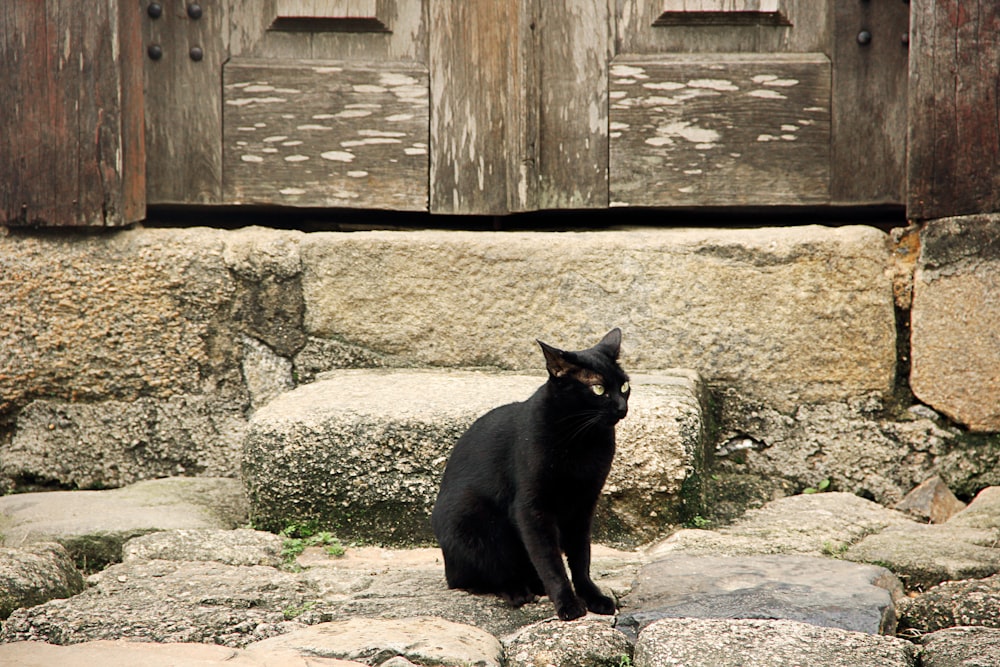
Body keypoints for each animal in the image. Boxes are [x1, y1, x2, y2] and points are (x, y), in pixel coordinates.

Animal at [432, 328, 632, 620]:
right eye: (599, 389)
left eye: (625, 386)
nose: (622, 407)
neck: (582, 439)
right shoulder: (531, 508)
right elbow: (551, 562)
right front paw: (568, 604)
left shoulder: (584, 504)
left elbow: (581, 557)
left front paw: (592, 596)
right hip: (472, 518)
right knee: (484, 575)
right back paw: (517, 590)